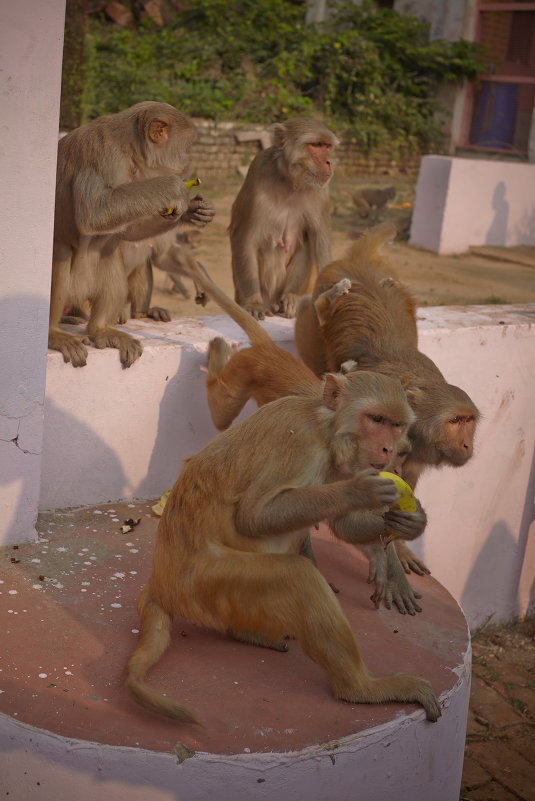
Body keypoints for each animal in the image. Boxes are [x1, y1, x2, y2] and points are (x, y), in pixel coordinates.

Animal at [50, 98, 216, 368]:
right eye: (189, 144)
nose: (191, 161)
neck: (130, 151)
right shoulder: (105, 157)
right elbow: (94, 213)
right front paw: (173, 188)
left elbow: (126, 230)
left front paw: (191, 211)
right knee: (62, 255)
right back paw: (53, 333)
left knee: (110, 256)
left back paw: (101, 329)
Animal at [126, 368, 444, 724]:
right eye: (376, 419)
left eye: (397, 424)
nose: (389, 449)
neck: (326, 430)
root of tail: (160, 585)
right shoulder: (299, 444)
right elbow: (253, 516)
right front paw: (358, 493)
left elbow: (344, 524)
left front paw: (412, 522)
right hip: (204, 584)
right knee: (298, 578)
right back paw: (360, 688)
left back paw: (247, 632)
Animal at [229, 116, 340, 322]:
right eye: (316, 145)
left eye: (327, 146)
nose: (330, 162)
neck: (290, 181)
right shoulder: (258, 171)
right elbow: (244, 238)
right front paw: (253, 303)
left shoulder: (321, 190)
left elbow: (320, 241)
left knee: (308, 241)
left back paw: (291, 297)